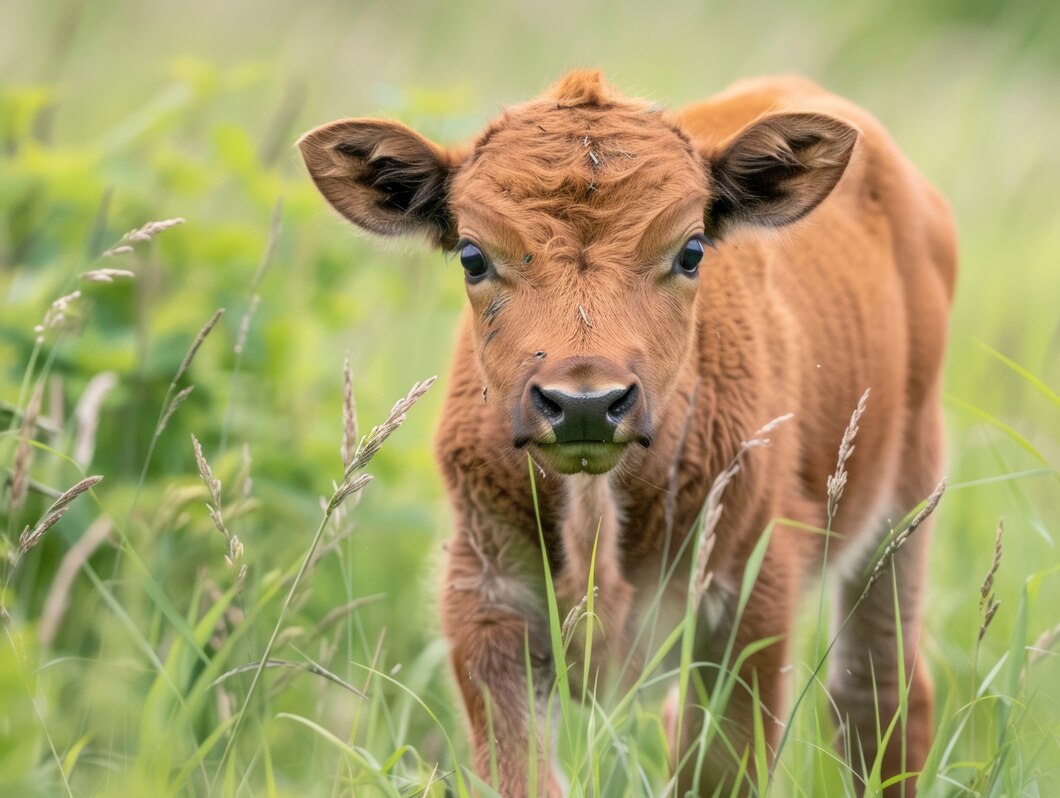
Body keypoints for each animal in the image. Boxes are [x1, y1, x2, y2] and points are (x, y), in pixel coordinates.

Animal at [301, 71, 962, 792]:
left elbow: (723, 767)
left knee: (877, 697)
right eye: (473, 257)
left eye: (692, 251)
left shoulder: (748, 600)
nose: (585, 403)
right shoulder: (488, 601)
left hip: (902, 515)